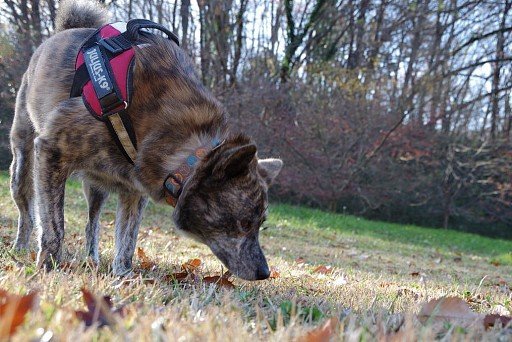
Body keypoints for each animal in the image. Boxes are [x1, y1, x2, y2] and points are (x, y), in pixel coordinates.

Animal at [11, 0, 284, 280]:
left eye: (261, 224)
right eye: (244, 223)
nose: (264, 272)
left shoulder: (133, 189)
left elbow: (127, 239)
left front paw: (123, 276)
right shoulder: (51, 152)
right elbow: (55, 226)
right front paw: (48, 266)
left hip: (97, 188)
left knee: (92, 224)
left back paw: (92, 259)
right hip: (24, 163)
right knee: (27, 212)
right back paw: (21, 247)